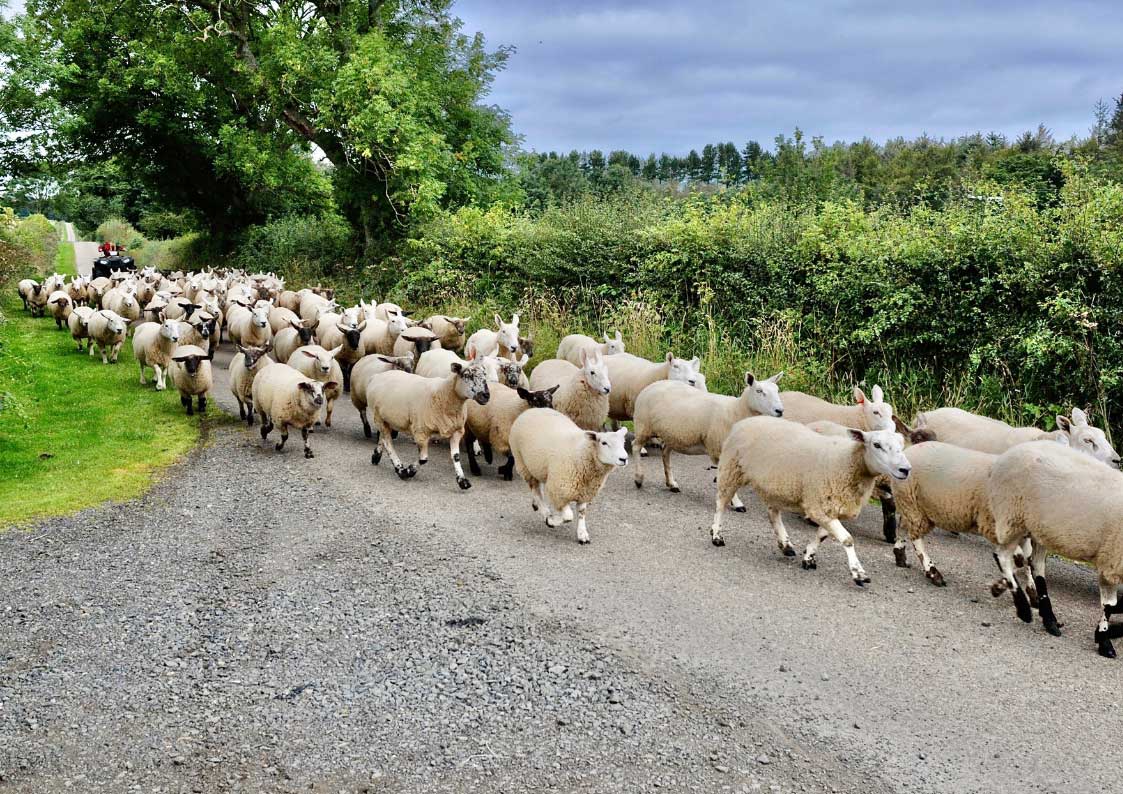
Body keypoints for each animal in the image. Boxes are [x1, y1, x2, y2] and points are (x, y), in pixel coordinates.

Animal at [508, 408, 630, 544]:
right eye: (604, 443)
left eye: (623, 442)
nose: (624, 459)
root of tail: (532, 410)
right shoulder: (559, 491)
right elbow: (568, 516)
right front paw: (551, 521)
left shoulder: (585, 492)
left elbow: (581, 513)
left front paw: (582, 534)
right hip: (523, 464)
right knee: (536, 490)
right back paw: (545, 512)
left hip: (539, 467)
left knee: (539, 487)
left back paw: (536, 505)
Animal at [632, 372, 784, 508]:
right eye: (759, 391)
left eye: (777, 390)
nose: (780, 411)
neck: (735, 411)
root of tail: (652, 385)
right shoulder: (718, 450)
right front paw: (736, 503)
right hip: (643, 425)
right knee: (635, 446)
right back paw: (639, 478)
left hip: (673, 434)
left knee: (665, 453)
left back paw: (671, 484)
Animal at [711, 416, 912, 585]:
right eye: (876, 445)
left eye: (901, 445)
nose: (905, 469)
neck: (847, 461)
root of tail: (745, 420)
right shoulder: (819, 506)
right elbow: (847, 539)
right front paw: (858, 573)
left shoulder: (829, 507)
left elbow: (822, 535)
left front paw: (809, 557)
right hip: (732, 468)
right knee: (721, 503)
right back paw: (716, 535)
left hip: (775, 485)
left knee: (773, 513)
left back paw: (785, 545)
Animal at [987, 440, 1123, 657]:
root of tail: (1007, 454)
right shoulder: (1112, 561)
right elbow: (1110, 605)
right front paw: (1104, 642)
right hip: (1013, 515)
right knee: (1002, 555)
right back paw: (1024, 609)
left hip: (1040, 528)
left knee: (1035, 565)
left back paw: (1047, 618)